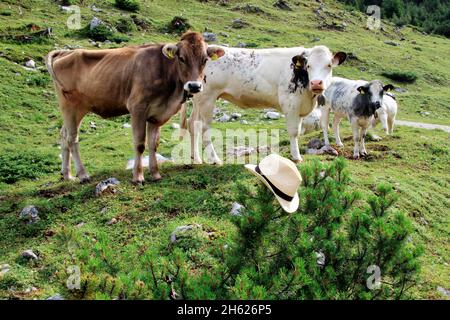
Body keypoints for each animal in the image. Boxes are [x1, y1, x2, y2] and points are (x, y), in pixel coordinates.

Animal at [45, 32, 225, 184]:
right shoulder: (137, 108)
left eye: (205, 60)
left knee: (63, 135)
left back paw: (67, 175)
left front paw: (155, 174)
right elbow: (140, 144)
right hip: (69, 106)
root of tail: (64, 53)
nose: (194, 86)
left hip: (78, 110)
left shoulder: (157, 114)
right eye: (181, 58)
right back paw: (83, 175)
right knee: (72, 138)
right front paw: (138, 177)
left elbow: (153, 144)